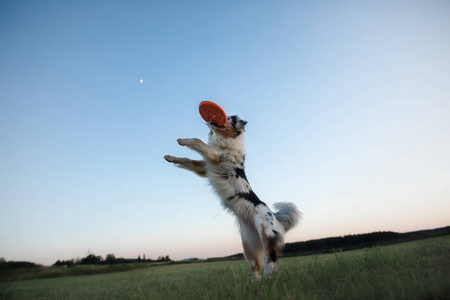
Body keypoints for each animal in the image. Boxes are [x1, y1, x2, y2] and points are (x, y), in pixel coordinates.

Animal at [163, 115, 300, 278]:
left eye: (229, 119)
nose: (211, 120)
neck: (225, 142)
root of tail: (274, 215)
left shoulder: (215, 157)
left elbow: (198, 141)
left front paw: (183, 141)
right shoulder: (204, 167)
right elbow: (186, 160)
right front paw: (170, 157)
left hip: (266, 234)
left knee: (270, 259)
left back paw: (268, 278)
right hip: (248, 244)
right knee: (255, 266)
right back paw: (254, 282)